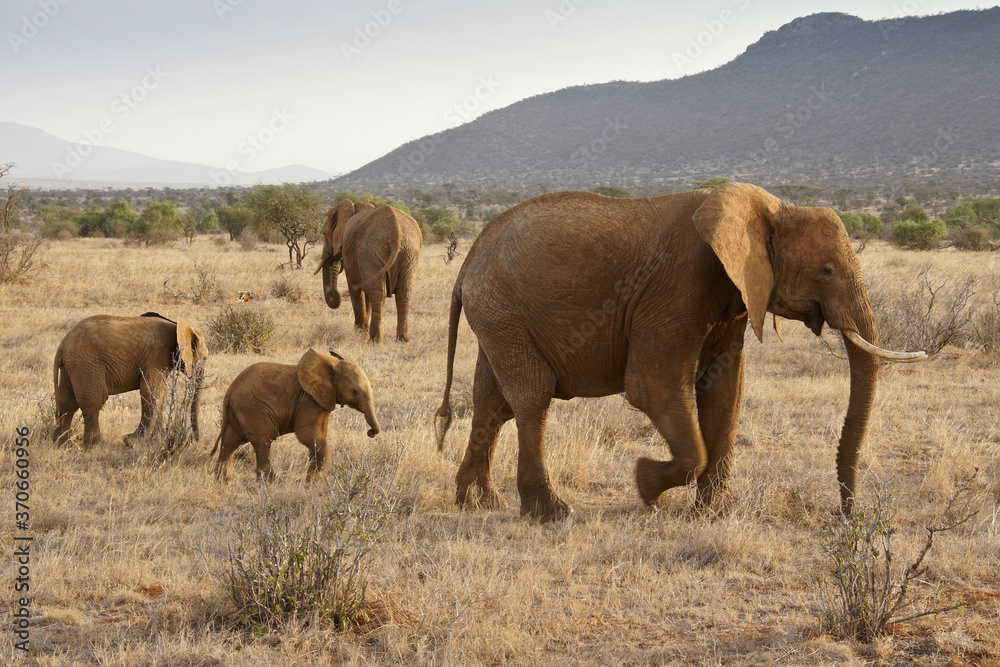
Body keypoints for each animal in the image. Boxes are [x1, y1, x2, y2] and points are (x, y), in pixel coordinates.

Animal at [52, 312, 209, 449]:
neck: (176, 326)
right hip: (86, 366)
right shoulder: (156, 357)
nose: (195, 440)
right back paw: (93, 446)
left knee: (68, 404)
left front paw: (155, 441)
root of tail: (62, 347)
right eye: (205, 358)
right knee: (93, 403)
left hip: (71, 369)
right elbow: (151, 393)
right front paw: (131, 442)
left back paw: (61, 444)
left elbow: (161, 395)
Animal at [211, 348, 381, 481]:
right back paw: (271, 482)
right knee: (262, 441)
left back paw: (224, 479)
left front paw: (311, 481)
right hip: (254, 409)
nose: (371, 432)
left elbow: (317, 436)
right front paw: (312, 483)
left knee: (230, 441)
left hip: (240, 411)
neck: (331, 366)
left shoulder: (323, 400)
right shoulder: (309, 400)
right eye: (355, 391)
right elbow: (308, 435)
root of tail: (230, 390)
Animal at [316, 199, 423, 342]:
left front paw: (359, 332)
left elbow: (355, 289)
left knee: (378, 293)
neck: (354, 206)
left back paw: (375, 340)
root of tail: (396, 232)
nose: (336, 294)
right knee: (404, 292)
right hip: (409, 252)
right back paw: (403, 339)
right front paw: (362, 331)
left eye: (323, 233)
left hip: (371, 251)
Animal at [435, 182, 926, 521]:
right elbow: (653, 389)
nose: (845, 513)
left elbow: (725, 393)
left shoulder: (733, 296)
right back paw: (551, 513)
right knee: (532, 398)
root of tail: (468, 261)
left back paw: (476, 503)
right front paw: (645, 484)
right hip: (503, 312)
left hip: (498, 317)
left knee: (492, 402)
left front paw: (712, 515)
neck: (769, 208)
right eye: (826, 270)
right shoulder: (678, 286)